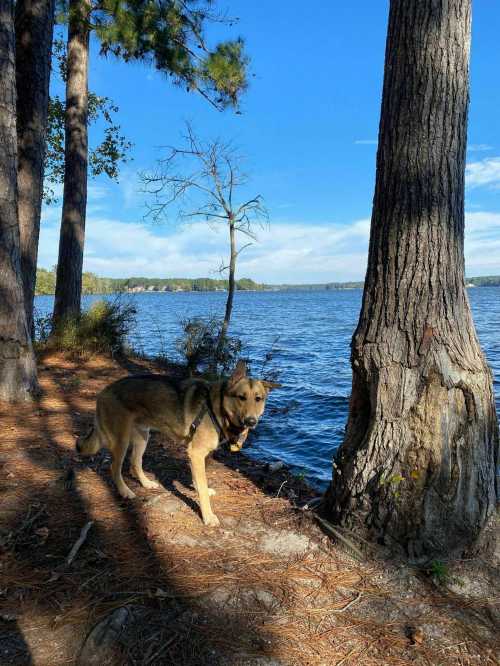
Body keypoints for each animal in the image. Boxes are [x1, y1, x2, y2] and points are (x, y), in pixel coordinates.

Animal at [76, 364, 280, 524]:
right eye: (241, 397)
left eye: (258, 399)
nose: (251, 421)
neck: (217, 408)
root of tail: (104, 391)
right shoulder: (196, 453)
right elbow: (202, 491)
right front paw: (207, 516)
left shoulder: (202, 456)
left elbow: (199, 482)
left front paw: (199, 489)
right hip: (121, 441)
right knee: (114, 468)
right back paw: (125, 491)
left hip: (143, 437)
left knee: (135, 463)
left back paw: (146, 483)